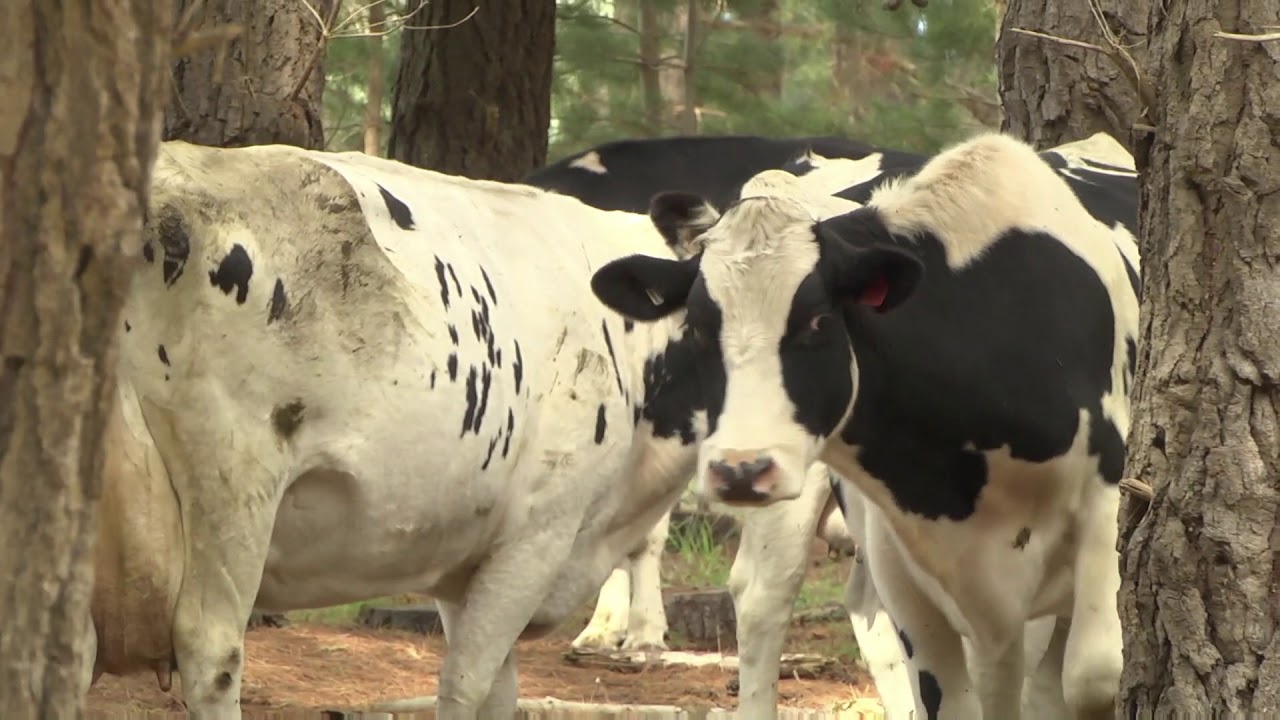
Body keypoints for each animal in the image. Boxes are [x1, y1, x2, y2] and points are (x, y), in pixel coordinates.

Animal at [89, 141, 724, 720]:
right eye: (711, 308)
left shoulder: (470, 564)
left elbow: (500, 690)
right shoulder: (536, 536)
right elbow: (467, 686)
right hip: (234, 487)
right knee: (211, 653)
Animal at [588, 131, 1141, 720]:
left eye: (817, 322)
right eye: (694, 327)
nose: (741, 470)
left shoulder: (1108, 497)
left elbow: (1092, 676)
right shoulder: (899, 556)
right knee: (765, 599)